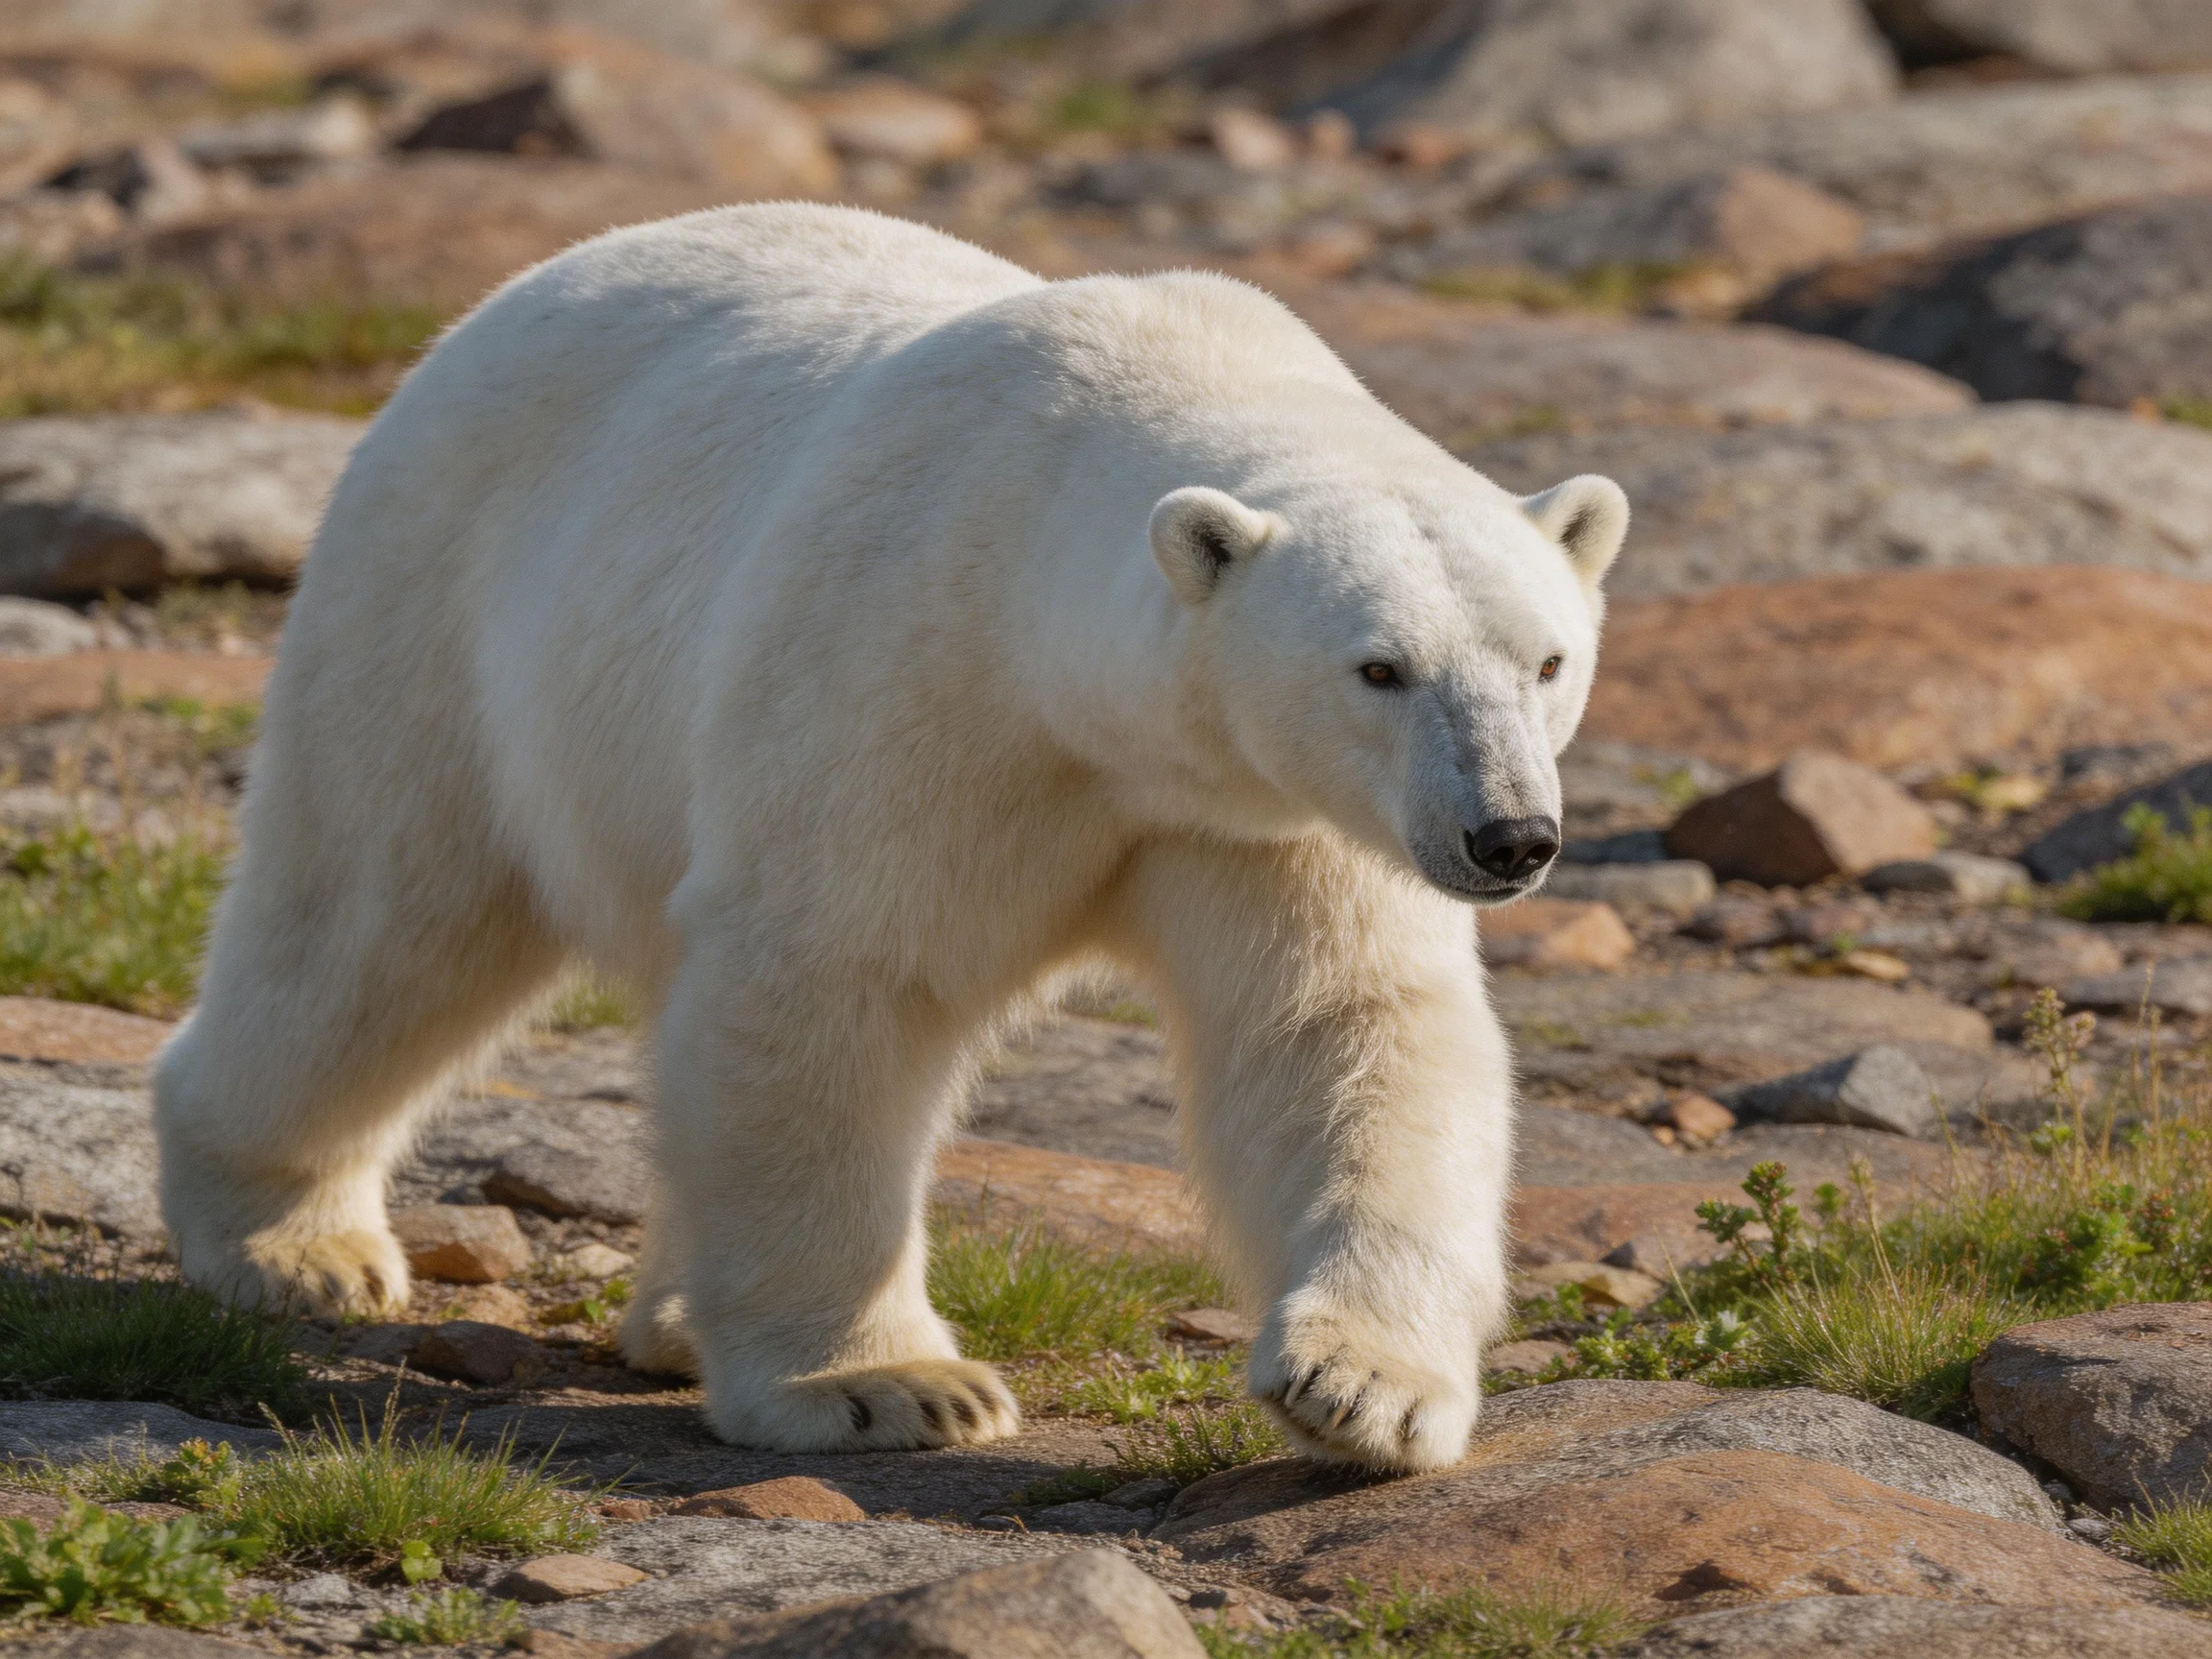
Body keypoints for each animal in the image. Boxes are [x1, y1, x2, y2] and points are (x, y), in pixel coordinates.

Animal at [153, 203, 1627, 1474]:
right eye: (1379, 668)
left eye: (1548, 659)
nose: (1512, 837)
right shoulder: (914, 676)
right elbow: (833, 979)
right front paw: (885, 1387)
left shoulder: (1264, 813)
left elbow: (1342, 1025)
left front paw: (1363, 1388)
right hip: (443, 610)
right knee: (381, 923)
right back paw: (293, 1244)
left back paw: (673, 1316)